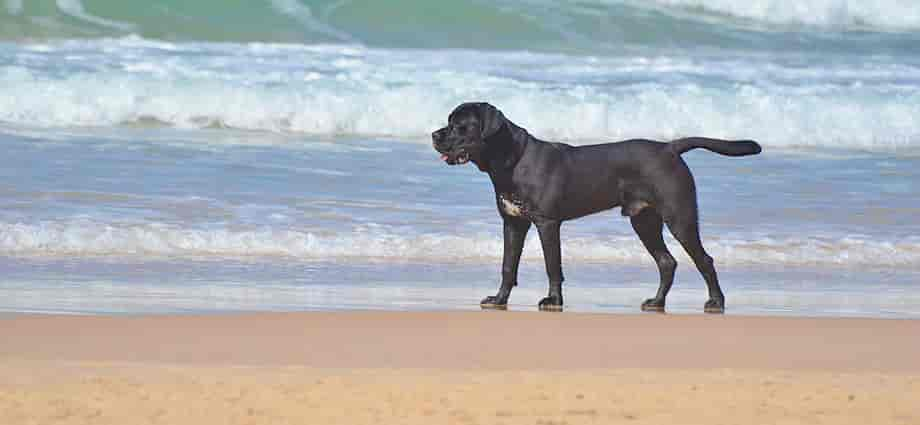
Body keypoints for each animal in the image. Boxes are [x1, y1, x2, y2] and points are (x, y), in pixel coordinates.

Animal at [434, 102, 760, 312]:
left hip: (679, 216)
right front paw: (499, 300)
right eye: (448, 121)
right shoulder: (513, 222)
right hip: (644, 220)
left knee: (704, 260)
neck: (512, 159)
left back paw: (716, 302)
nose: (435, 135)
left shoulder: (547, 222)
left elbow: (553, 265)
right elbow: (507, 266)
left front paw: (553, 301)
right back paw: (656, 303)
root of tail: (669, 148)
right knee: (667, 262)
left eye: (460, 126)